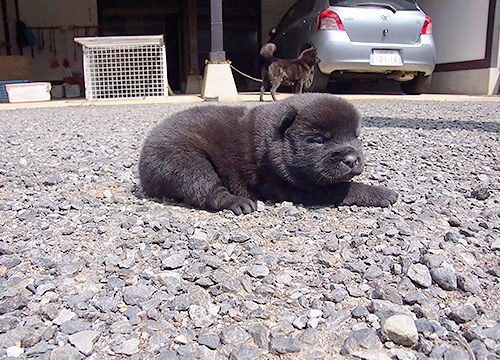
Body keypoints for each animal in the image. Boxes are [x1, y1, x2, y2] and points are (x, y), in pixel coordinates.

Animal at [139, 94, 396, 215]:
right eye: (320, 140)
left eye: (356, 136)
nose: (352, 159)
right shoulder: (289, 187)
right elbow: (342, 188)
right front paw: (381, 193)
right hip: (183, 159)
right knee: (203, 187)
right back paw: (238, 202)